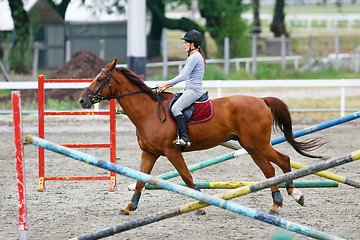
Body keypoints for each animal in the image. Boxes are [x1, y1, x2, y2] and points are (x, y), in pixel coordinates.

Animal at [79, 57, 326, 216]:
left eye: (100, 78)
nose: (83, 100)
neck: (148, 112)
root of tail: (261, 100)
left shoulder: (172, 151)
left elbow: (187, 178)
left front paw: (201, 206)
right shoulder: (149, 153)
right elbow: (140, 180)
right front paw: (129, 208)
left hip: (257, 144)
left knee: (283, 161)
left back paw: (295, 194)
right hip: (252, 146)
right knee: (269, 171)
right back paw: (276, 205)